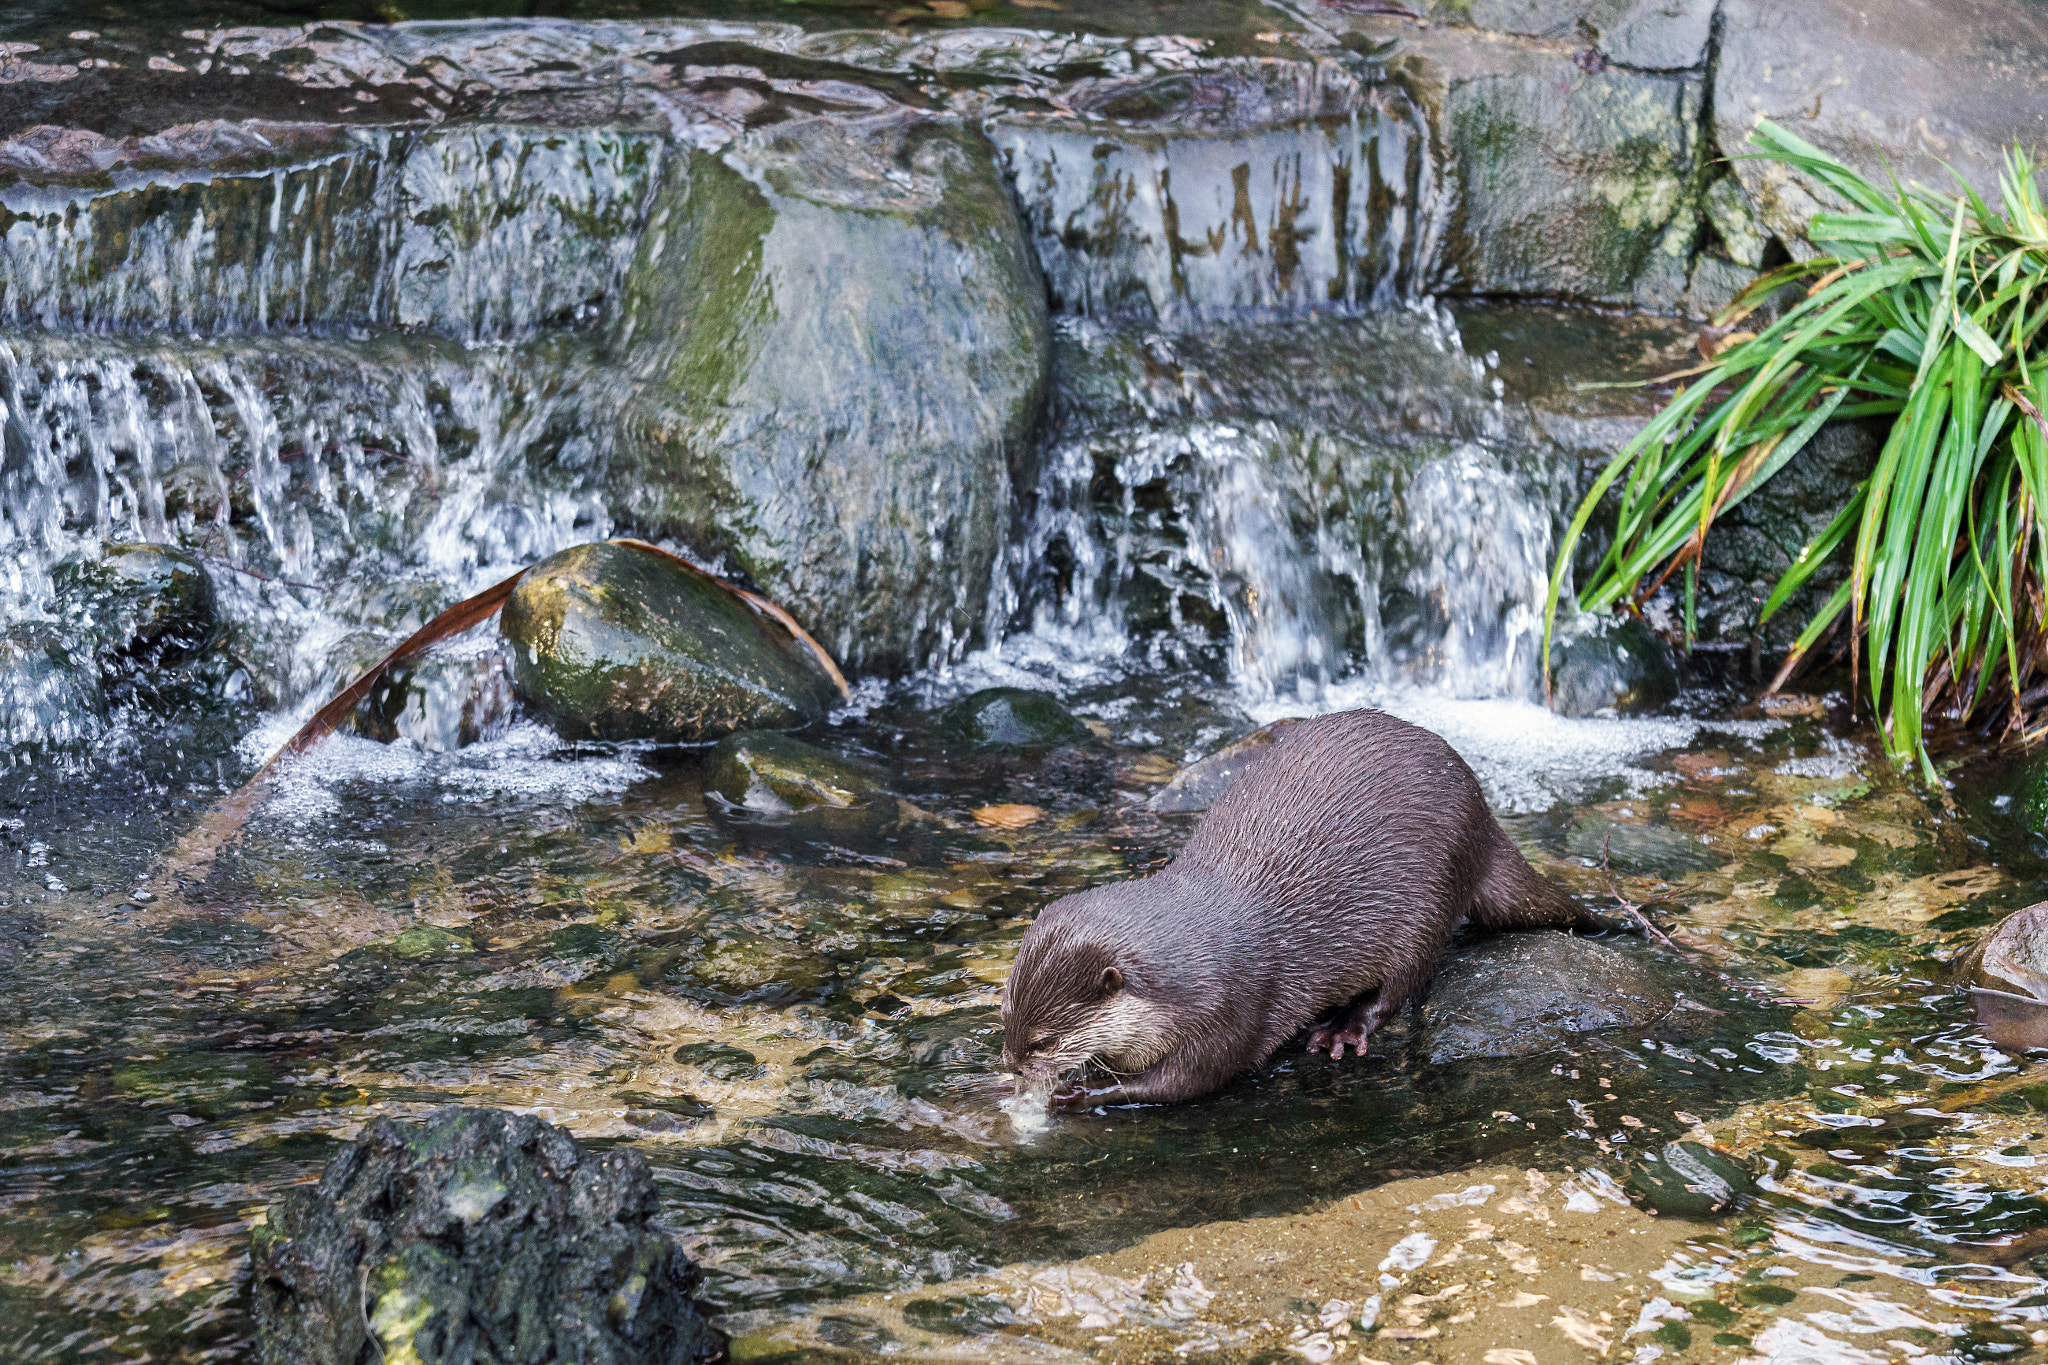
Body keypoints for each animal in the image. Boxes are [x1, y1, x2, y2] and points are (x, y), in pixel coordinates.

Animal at [999, 703, 1622, 1113]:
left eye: (1043, 1041)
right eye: (1005, 1021)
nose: (1010, 1065)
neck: (1187, 971)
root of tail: (1484, 814)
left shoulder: (1229, 1007)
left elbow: (1188, 1081)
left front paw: (1086, 1092)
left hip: (1432, 894)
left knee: (1404, 983)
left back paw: (1342, 1029)